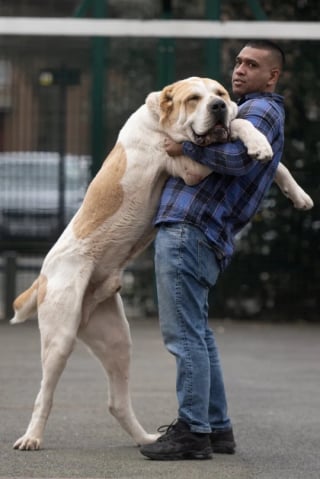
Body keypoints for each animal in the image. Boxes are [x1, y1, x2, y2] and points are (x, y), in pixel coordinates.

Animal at [10, 77, 312, 452]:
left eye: (220, 94)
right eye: (194, 99)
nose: (218, 106)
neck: (160, 122)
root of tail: (42, 274)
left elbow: (255, 141)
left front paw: (293, 186)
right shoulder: (189, 167)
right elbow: (238, 127)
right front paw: (258, 143)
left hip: (116, 340)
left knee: (117, 401)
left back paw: (147, 438)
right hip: (60, 335)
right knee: (45, 393)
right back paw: (32, 437)